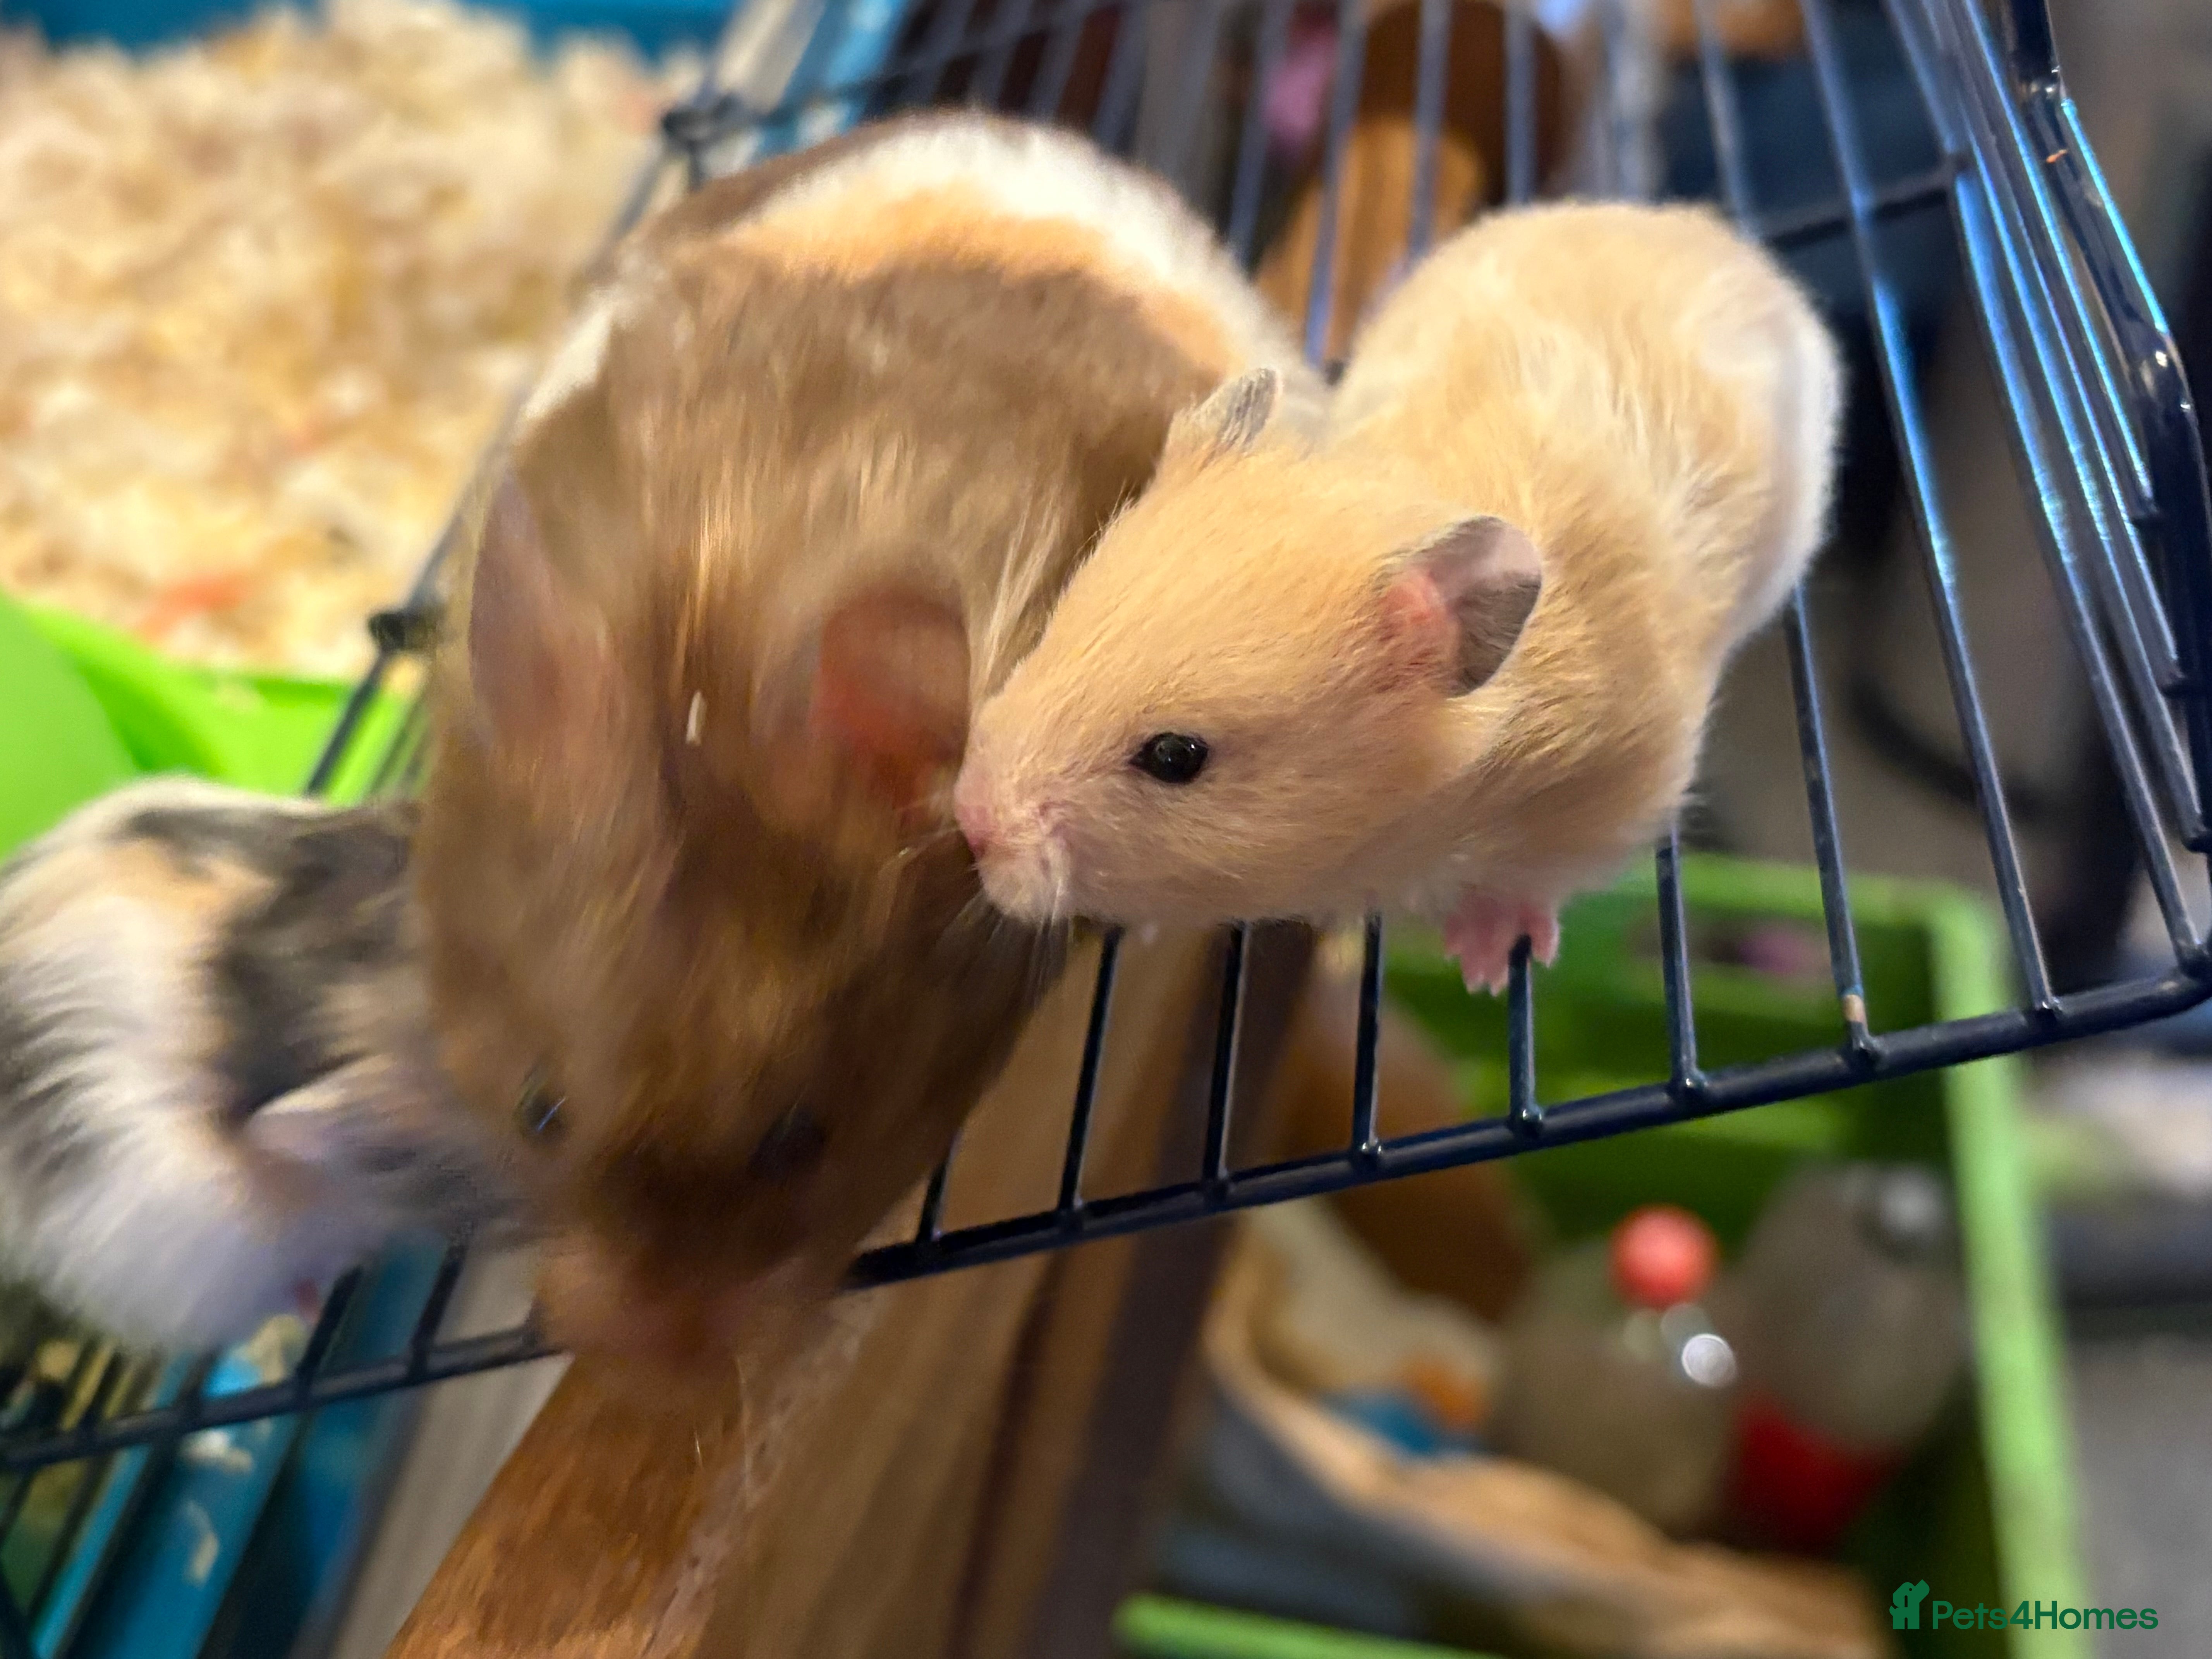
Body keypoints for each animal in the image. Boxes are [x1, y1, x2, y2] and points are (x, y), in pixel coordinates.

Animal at [956, 201, 1842, 992]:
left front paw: (1485, 967)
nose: (970, 821)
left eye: (1177, 758)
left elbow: (1532, 879)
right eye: (1050, 633)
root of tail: (1709, 228)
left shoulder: (1624, 785)